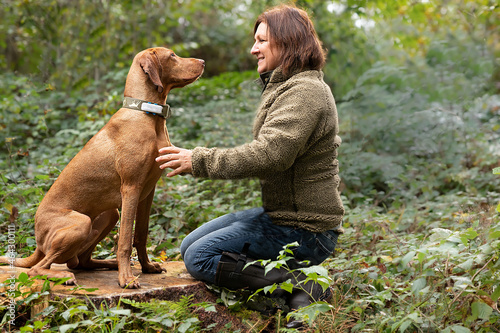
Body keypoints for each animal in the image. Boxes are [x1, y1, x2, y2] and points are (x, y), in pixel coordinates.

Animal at [1, 47, 204, 288]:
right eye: (172, 55)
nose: (203, 61)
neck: (146, 113)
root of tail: (38, 242)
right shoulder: (131, 188)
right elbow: (125, 240)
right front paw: (127, 278)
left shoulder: (147, 192)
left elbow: (141, 234)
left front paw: (146, 267)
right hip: (81, 222)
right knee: (39, 268)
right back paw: (66, 276)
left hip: (109, 214)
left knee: (80, 261)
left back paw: (108, 264)